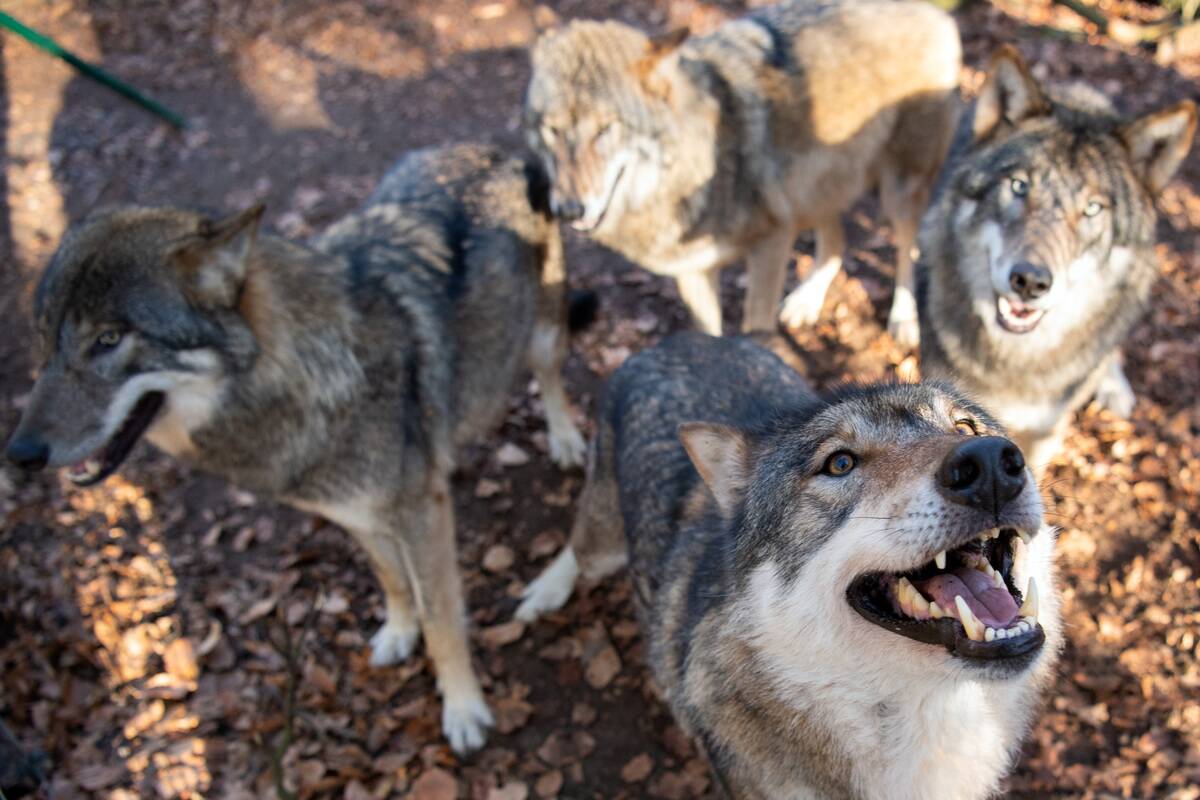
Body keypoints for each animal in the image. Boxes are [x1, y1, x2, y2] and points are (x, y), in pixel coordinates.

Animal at [4, 143, 589, 753]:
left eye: (109, 339)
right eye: (44, 342)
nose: (20, 453)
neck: (304, 377)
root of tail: (500, 149)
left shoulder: (421, 516)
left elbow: (441, 620)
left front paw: (463, 708)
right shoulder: (356, 515)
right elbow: (393, 581)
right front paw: (399, 633)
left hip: (543, 332)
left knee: (550, 377)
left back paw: (566, 439)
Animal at [518, 332, 1060, 799]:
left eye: (964, 427)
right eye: (840, 463)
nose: (989, 463)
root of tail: (680, 338)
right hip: (603, 541)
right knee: (578, 546)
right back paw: (543, 591)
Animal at [524, 0, 961, 345]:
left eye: (605, 129)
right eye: (552, 129)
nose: (568, 209)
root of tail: (931, 13)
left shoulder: (772, 240)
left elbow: (756, 325)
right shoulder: (695, 269)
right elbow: (710, 332)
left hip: (897, 190)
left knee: (907, 248)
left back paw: (904, 318)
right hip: (814, 189)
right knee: (837, 241)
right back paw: (806, 301)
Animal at [918, 46, 1196, 469]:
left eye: (1093, 208)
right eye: (1019, 186)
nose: (1030, 282)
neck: (1015, 360)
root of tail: (1079, 89)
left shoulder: (1045, 432)